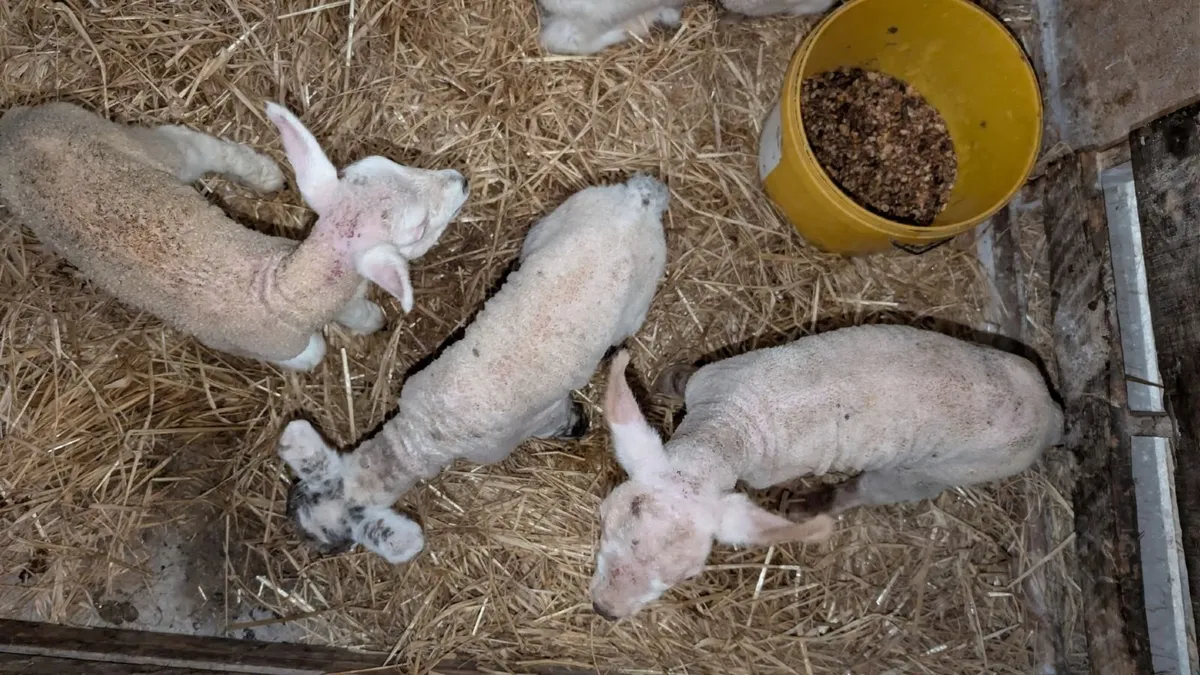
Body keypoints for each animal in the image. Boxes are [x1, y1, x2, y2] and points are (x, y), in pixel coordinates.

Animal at [0, 101, 468, 371]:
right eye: (419, 227)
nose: (460, 180)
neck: (281, 293)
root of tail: (13, 126)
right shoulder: (273, 344)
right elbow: (314, 352)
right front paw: (364, 322)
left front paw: (368, 319)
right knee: (189, 144)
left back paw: (264, 174)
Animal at [276, 173, 670, 563]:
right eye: (296, 498)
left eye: (334, 547)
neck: (424, 433)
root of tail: (639, 199)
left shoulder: (532, 425)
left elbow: (562, 421)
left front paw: (579, 426)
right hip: (556, 221)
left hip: (638, 298)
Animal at [589, 324, 1064, 620]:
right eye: (603, 518)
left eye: (688, 577)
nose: (606, 610)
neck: (727, 430)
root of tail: (1052, 413)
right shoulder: (715, 377)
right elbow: (680, 380)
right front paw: (662, 379)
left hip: (939, 471)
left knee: (871, 489)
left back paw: (808, 504)